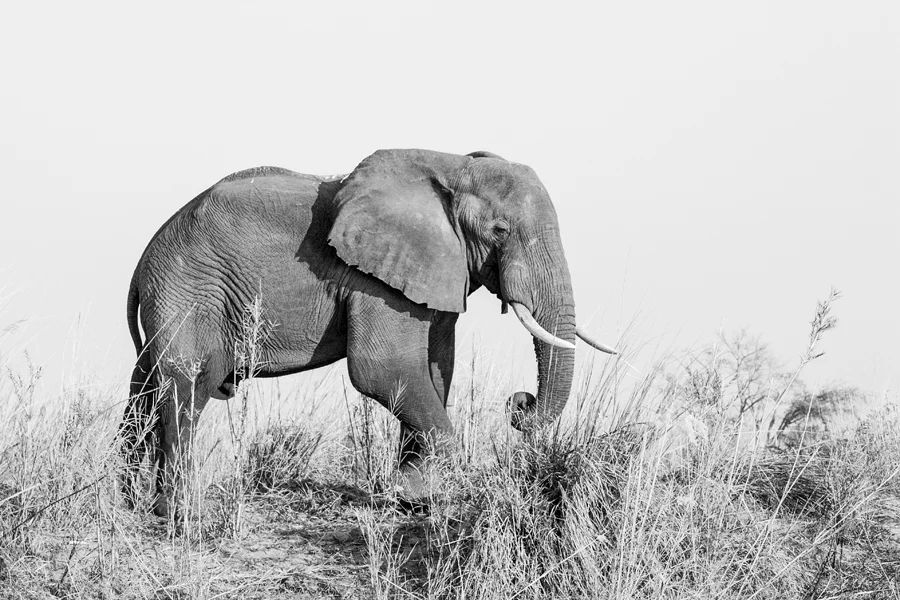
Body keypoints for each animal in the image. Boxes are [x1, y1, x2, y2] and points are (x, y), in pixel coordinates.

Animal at [118, 148, 616, 517]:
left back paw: (132, 502)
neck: (452, 166)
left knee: (147, 388)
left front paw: (414, 497)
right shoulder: (374, 280)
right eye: (500, 229)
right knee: (186, 384)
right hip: (189, 289)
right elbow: (383, 370)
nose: (520, 403)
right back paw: (180, 513)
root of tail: (141, 265)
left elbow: (435, 370)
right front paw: (426, 493)